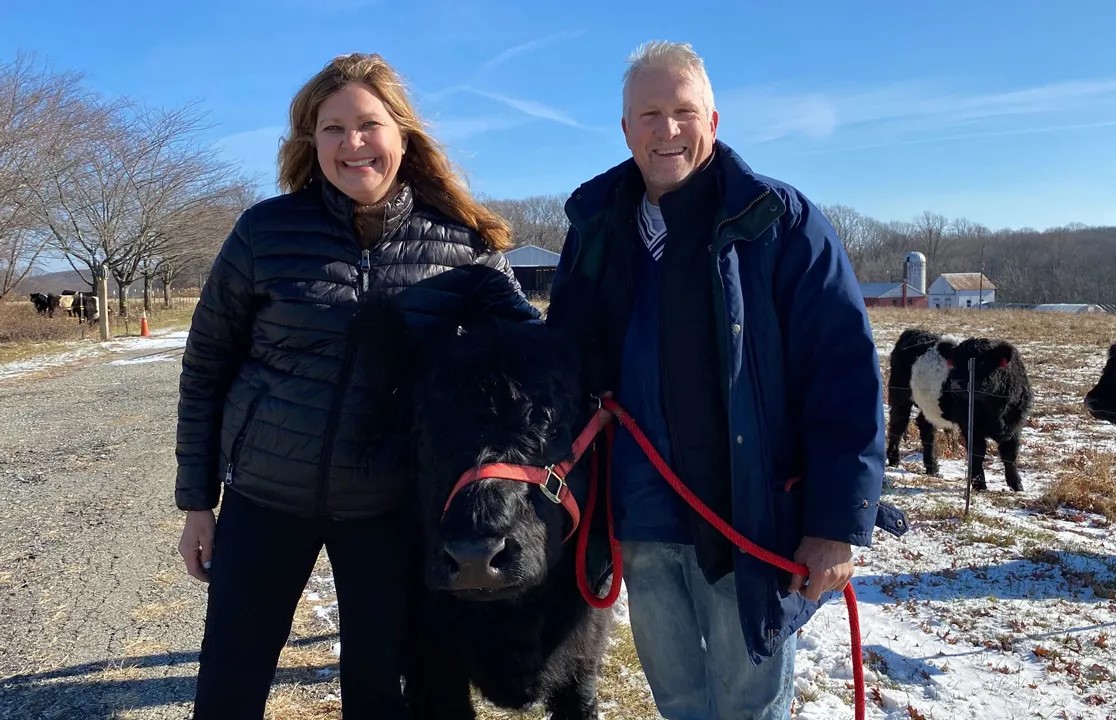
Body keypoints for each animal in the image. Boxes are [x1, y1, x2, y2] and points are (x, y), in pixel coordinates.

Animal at [883, 328, 1031, 491]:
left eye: (982, 362)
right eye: (954, 362)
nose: (956, 383)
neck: (996, 411)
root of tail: (912, 331)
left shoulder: (1015, 425)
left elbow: (1010, 454)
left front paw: (1016, 485)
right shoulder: (971, 426)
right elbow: (977, 453)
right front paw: (979, 484)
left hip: (928, 406)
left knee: (926, 428)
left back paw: (932, 467)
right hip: (899, 396)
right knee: (898, 425)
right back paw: (894, 459)